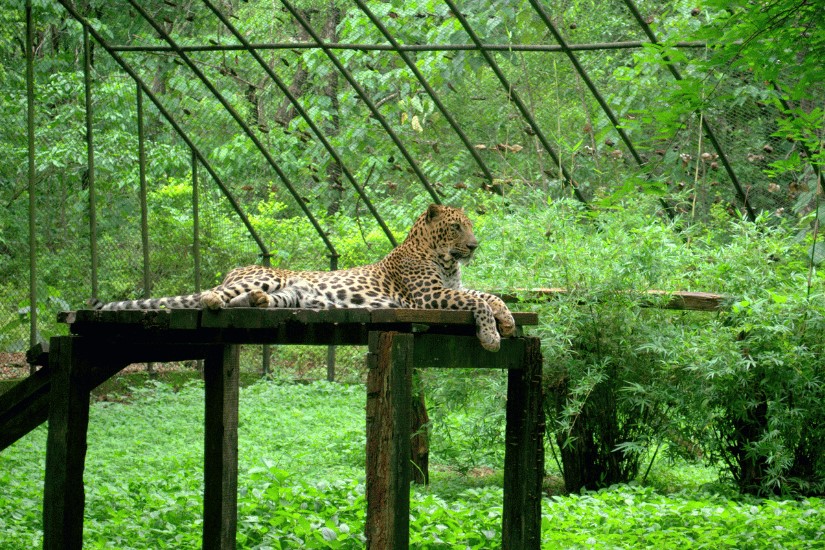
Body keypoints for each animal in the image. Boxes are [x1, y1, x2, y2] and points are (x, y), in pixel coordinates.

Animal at [91, 204, 516, 354]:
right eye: (457, 227)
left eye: (470, 226)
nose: (474, 245)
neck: (447, 261)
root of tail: (235, 269)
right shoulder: (429, 297)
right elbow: (479, 299)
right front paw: (492, 336)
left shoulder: (448, 289)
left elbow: (488, 294)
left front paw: (508, 320)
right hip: (258, 278)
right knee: (212, 295)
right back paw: (215, 300)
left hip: (292, 296)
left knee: (253, 301)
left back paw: (256, 305)